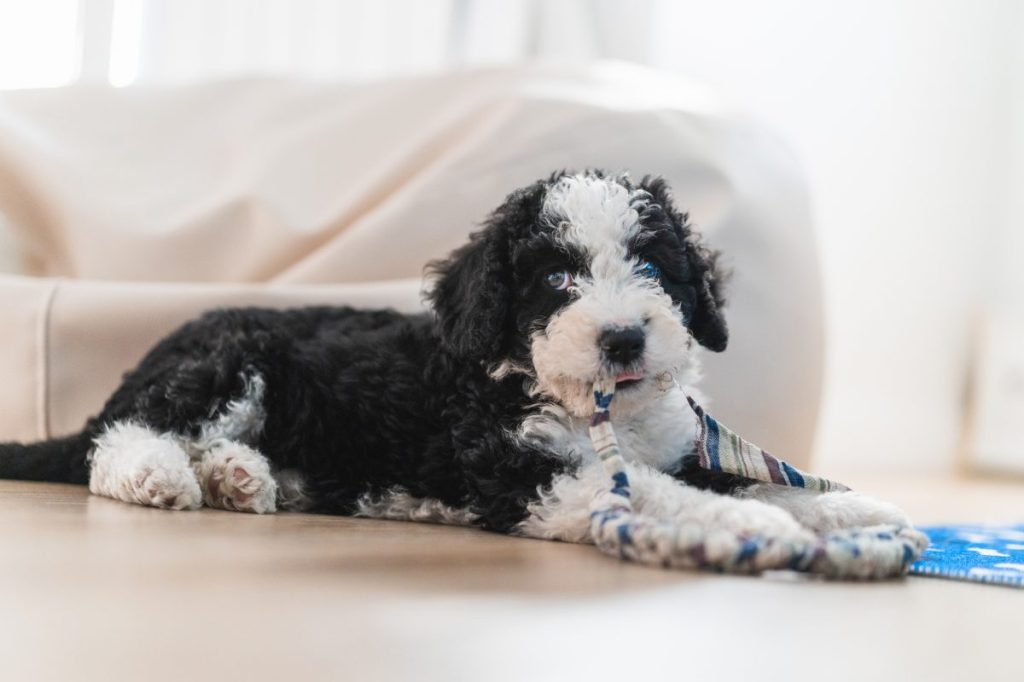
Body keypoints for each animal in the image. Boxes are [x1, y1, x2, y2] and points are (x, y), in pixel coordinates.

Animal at [0, 169, 913, 548]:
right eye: (556, 279)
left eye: (655, 269)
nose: (623, 337)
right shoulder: (527, 472)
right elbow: (651, 493)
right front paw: (750, 526)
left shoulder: (668, 449)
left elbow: (734, 476)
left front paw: (848, 509)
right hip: (232, 358)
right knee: (121, 439)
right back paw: (165, 475)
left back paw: (241, 476)